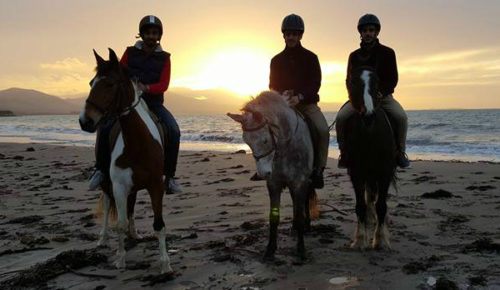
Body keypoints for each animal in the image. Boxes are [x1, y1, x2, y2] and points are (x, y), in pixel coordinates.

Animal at [78, 48, 172, 274]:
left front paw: (165, 263)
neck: (138, 142)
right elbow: (118, 223)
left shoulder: (155, 186)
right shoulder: (119, 186)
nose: (85, 121)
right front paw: (120, 259)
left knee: (131, 206)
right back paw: (103, 238)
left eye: (110, 84)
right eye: (91, 83)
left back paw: (134, 232)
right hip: (107, 183)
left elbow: (159, 224)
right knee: (107, 206)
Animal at [229, 90, 318, 260]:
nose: (263, 173)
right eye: (247, 141)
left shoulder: (300, 182)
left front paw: (301, 250)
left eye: (264, 140)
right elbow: (273, 218)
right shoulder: (274, 184)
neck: (285, 149)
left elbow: (300, 214)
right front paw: (270, 249)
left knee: (304, 203)